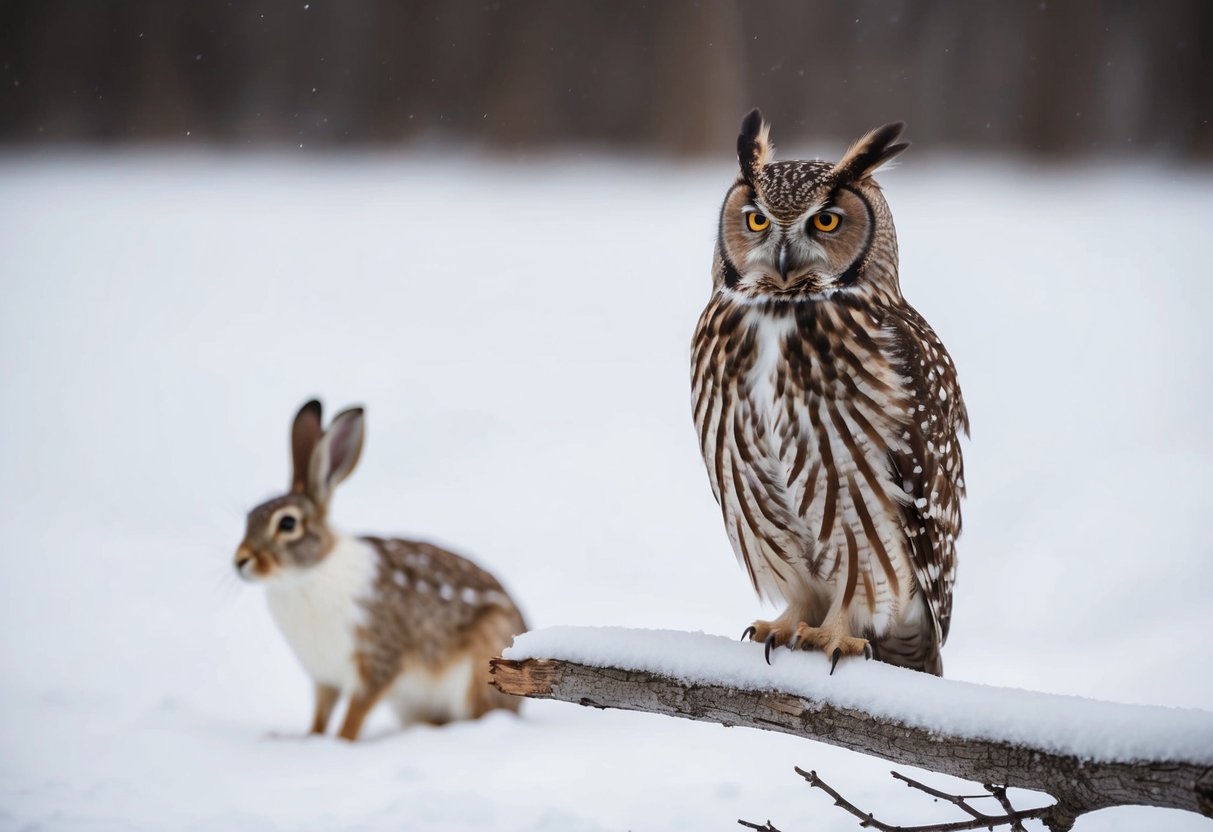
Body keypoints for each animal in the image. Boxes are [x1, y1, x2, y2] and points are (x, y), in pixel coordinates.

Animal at [233, 399, 527, 740]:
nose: (240, 560)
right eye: (249, 518)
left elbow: (355, 713)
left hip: (478, 670)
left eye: (288, 524)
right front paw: (308, 740)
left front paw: (341, 743)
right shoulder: (324, 677)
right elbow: (321, 715)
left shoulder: (376, 660)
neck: (309, 573)